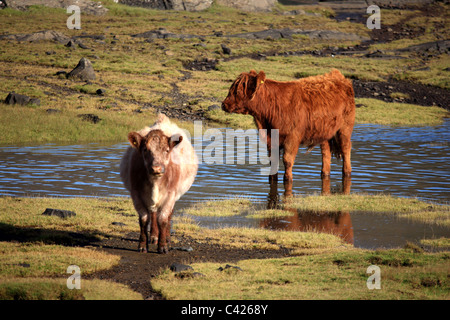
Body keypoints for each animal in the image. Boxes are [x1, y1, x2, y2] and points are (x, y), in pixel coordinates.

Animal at [119, 114, 197, 254]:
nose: (156, 168)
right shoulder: (136, 195)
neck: (155, 182)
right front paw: (143, 245)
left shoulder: (170, 195)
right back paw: (154, 236)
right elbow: (144, 219)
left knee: (167, 215)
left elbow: (163, 219)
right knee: (153, 213)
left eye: (166, 150)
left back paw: (166, 238)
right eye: (145, 149)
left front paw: (163, 246)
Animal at [221, 69, 356, 196]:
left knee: (346, 148)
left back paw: (347, 173)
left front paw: (288, 180)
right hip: (325, 133)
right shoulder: (271, 139)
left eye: (238, 91)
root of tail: (340, 77)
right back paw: (325, 174)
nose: (224, 104)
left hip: (344, 128)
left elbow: (287, 160)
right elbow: (273, 160)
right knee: (326, 153)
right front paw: (272, 178)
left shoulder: (292, 137)